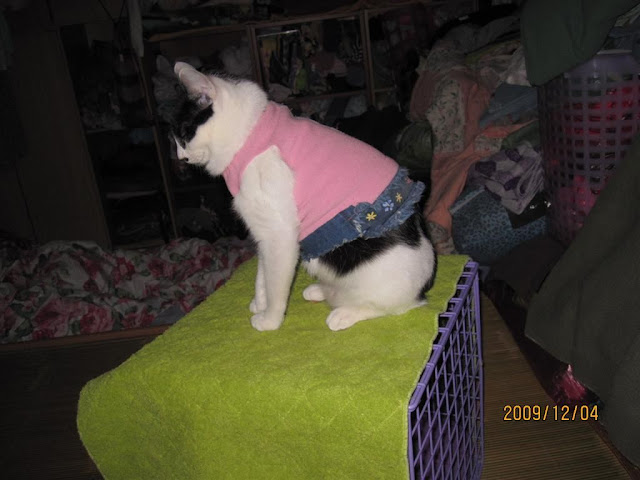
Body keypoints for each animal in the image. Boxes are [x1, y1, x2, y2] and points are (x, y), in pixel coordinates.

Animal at [169, 62, 437, 331]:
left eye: (183, 134)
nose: (181, 159)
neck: (249, 134)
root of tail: (424, 286)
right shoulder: (262, 231)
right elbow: (262, 272)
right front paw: (260, 302)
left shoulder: (279, 232)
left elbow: (276, 283)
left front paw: (270, 320)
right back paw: (320, 291)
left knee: (393, 306)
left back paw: (344, 313)